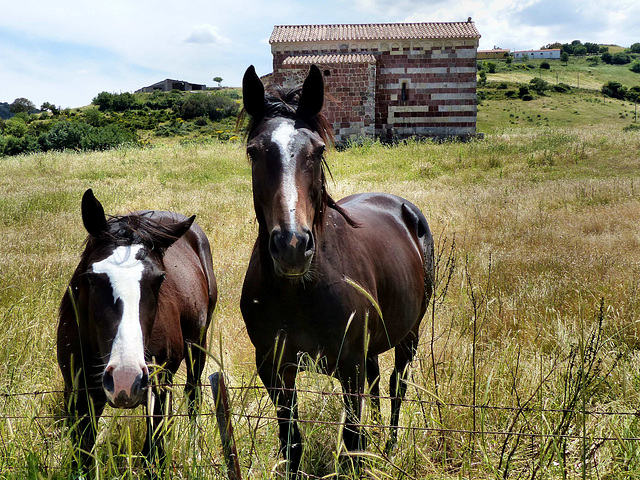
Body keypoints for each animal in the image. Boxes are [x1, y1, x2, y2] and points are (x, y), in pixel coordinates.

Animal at [57, 189, 218, 474]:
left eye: (160, 279)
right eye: (91, 277)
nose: (125, 378)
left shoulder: (160, 383)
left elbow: (155, 452)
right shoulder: (78, 393)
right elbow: (82, 457)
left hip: (197, 345)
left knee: (193, 394)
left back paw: (195, 450)